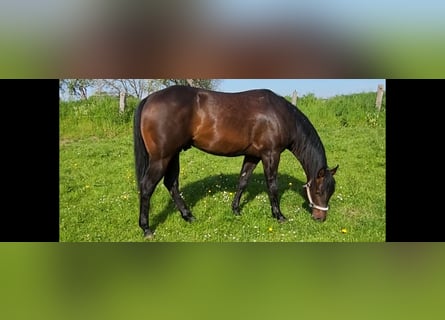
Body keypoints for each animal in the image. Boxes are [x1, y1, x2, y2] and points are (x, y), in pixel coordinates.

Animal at [134, 85, 338, 238]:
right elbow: (272, 185)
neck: (280, 115)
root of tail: (149, 98)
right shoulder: (271, 154)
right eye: (318, 191)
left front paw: (236, 209)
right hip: (162, 158)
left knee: (172, 184)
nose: (320, 217)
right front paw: (279, 215)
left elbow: (243, 181)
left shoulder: (253, 155)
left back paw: (188, 216)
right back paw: (146, 229)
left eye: (331, 192)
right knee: (147, 187)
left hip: (173, 155)